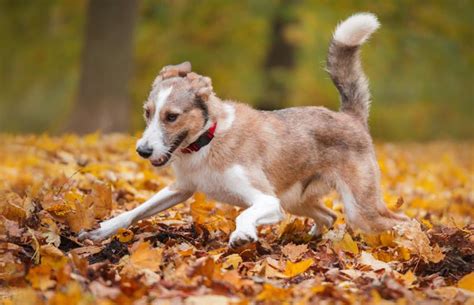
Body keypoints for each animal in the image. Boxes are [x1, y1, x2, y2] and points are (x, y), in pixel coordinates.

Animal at [79, 13, 406, 247]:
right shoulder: (181, 188)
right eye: (148, 113)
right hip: (297, 200)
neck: (208, 141)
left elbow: (245, 214)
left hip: (359, 209)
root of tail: (350, 117)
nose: (142, 151)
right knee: (328, 215)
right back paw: (310, 239)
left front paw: (243, 234)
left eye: (171, 117)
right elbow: (136, 210)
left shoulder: (267, 200)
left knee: (400, 221)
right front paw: (101, 231)